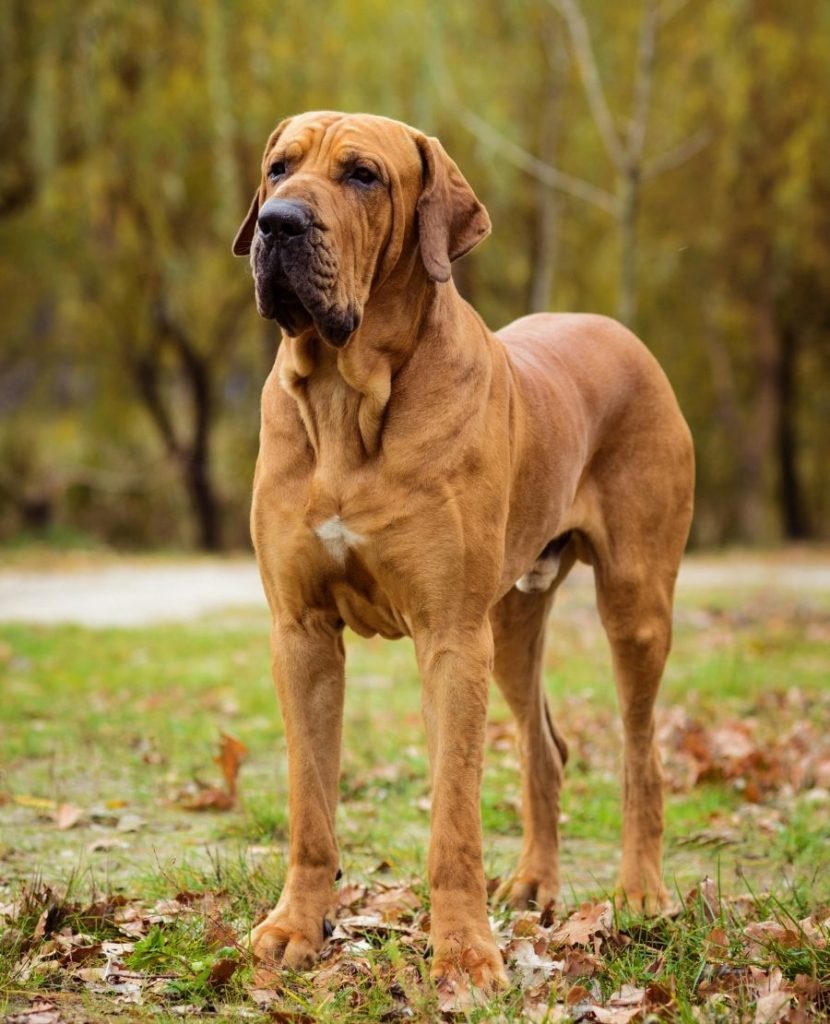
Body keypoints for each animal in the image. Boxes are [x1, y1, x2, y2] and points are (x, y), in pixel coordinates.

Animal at [232, 112, 695, 991]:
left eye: (363, 176)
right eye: (277, 168)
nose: (277, 224)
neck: (348, 397)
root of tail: (623, 334)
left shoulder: (450, 636)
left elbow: (453, 816)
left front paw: (464, 954)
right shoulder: (299, 632)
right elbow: (311, 805)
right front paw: (294, 930)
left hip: (634, 605)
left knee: (639, 753)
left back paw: (643, 892)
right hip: (511, 622)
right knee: (547, 750)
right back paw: (535, 884)